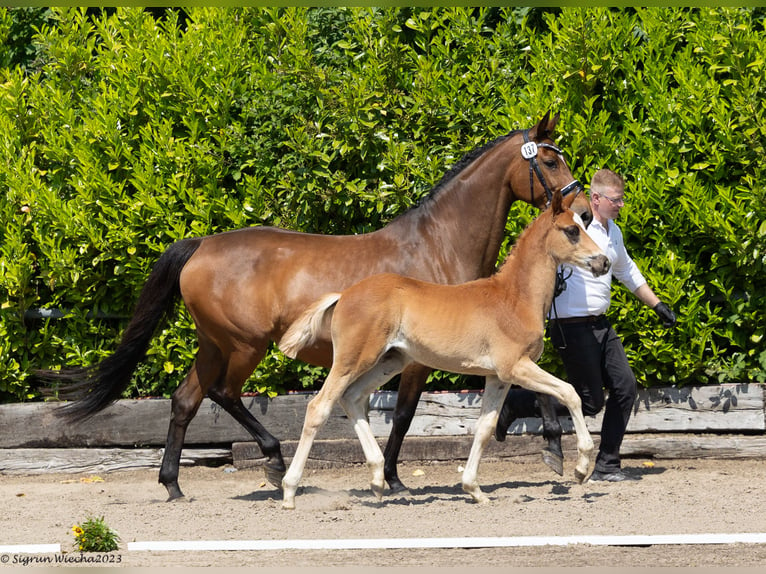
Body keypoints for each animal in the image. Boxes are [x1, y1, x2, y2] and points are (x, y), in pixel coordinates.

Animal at [40, 111, 588, 500]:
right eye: (551, 161)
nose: (583, 208)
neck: (437, 243)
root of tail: (199, 245)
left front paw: (554, 451)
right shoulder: (426, 359)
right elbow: (407, 414)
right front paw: (394, 478)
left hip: (212, 344)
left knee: (185, 399)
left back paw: (173, 484)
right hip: (245, 345)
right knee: (223, 393)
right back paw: (273, 463)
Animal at [280, 191, 612, 510]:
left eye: (583, 225)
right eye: (572, 230)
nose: (604, 263)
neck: (514, 298)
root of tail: (344, 294)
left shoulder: (498, 377)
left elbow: (485, 427)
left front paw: (474, 489)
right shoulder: (516, 366)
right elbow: (570, 392)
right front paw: (581, 468)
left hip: (390, 361)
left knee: (352, 398)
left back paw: (376, 481)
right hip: (352, 360)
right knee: (319, 407)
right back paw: (290, 492)